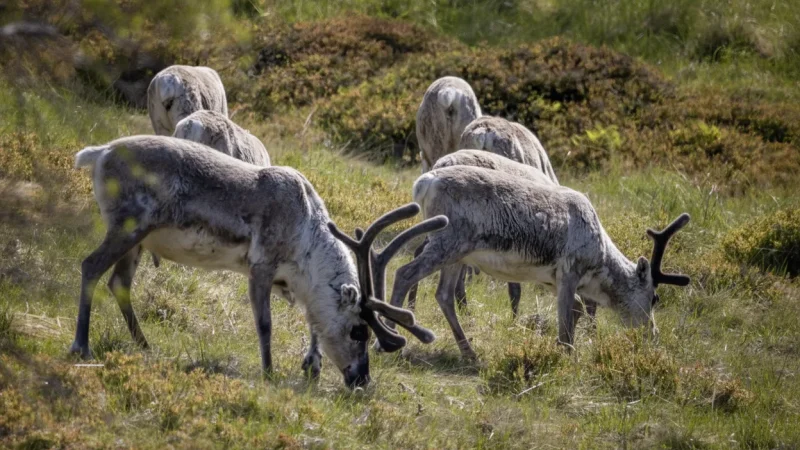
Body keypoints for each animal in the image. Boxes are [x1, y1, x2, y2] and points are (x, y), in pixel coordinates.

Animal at [71, 135, 442, 387]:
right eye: (358, 331)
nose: (362, 379)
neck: (307, 234)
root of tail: (100, 152)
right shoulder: (260, 267)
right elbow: (265, 324)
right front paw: (269, 372)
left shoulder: (292, 283)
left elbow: (313, 320)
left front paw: (312, 365)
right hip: (128, 226)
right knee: (90, 266)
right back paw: (81, 346)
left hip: (138, 239)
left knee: (118, 282)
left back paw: (144, 345)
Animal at [383, 165, 690, 359]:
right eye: (654, 298)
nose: (652, 334)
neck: (599, 262)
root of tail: (423, 183)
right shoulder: (569, 272)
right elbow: (565, 326)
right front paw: (568, 358)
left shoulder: (551, 279)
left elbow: (575, 312)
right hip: (448, 242)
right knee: (404, 273)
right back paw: (386, 340)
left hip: (458, 253)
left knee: (443, 294)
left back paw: (469, 352)